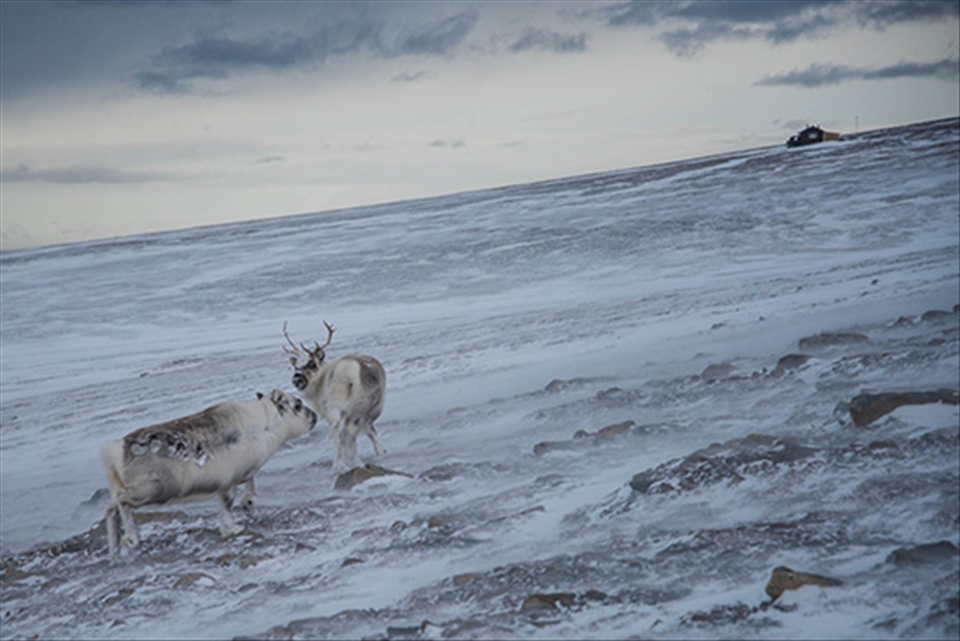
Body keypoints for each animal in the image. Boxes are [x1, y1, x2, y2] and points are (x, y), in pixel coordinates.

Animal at [284, 321, 387, 472]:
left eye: (311, 363)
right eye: (295, 366)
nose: (296, 379)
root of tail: (349, 372)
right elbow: (371, 432)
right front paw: (382, 452)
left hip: (339, 406)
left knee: (341, 430)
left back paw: (341, 464)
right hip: (371, 408)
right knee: (359, 430)